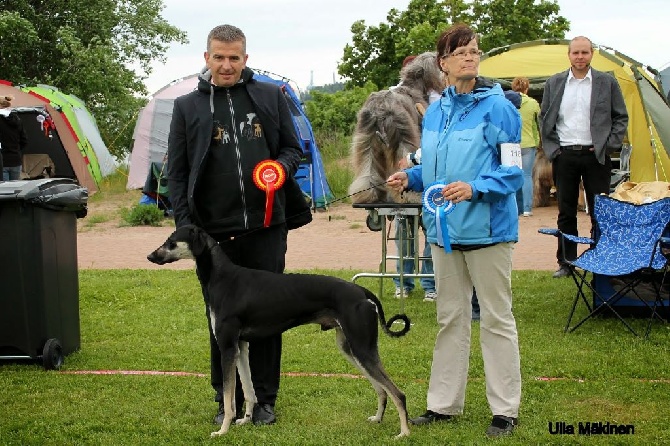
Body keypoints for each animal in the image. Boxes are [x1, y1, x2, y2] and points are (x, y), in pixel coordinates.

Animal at [147, 226, 412, 440]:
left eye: (172, 241)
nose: (150, 256)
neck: (224, 278)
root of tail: (361, 291)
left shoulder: (227, 347)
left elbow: (230, 397)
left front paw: (223, 430)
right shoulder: (241, 346)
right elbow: (249, 391)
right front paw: (245, 420)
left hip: (362, 348)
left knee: (398, 393)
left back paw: (404, 432)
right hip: (351, 348)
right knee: (381, 389)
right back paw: (378, 419)